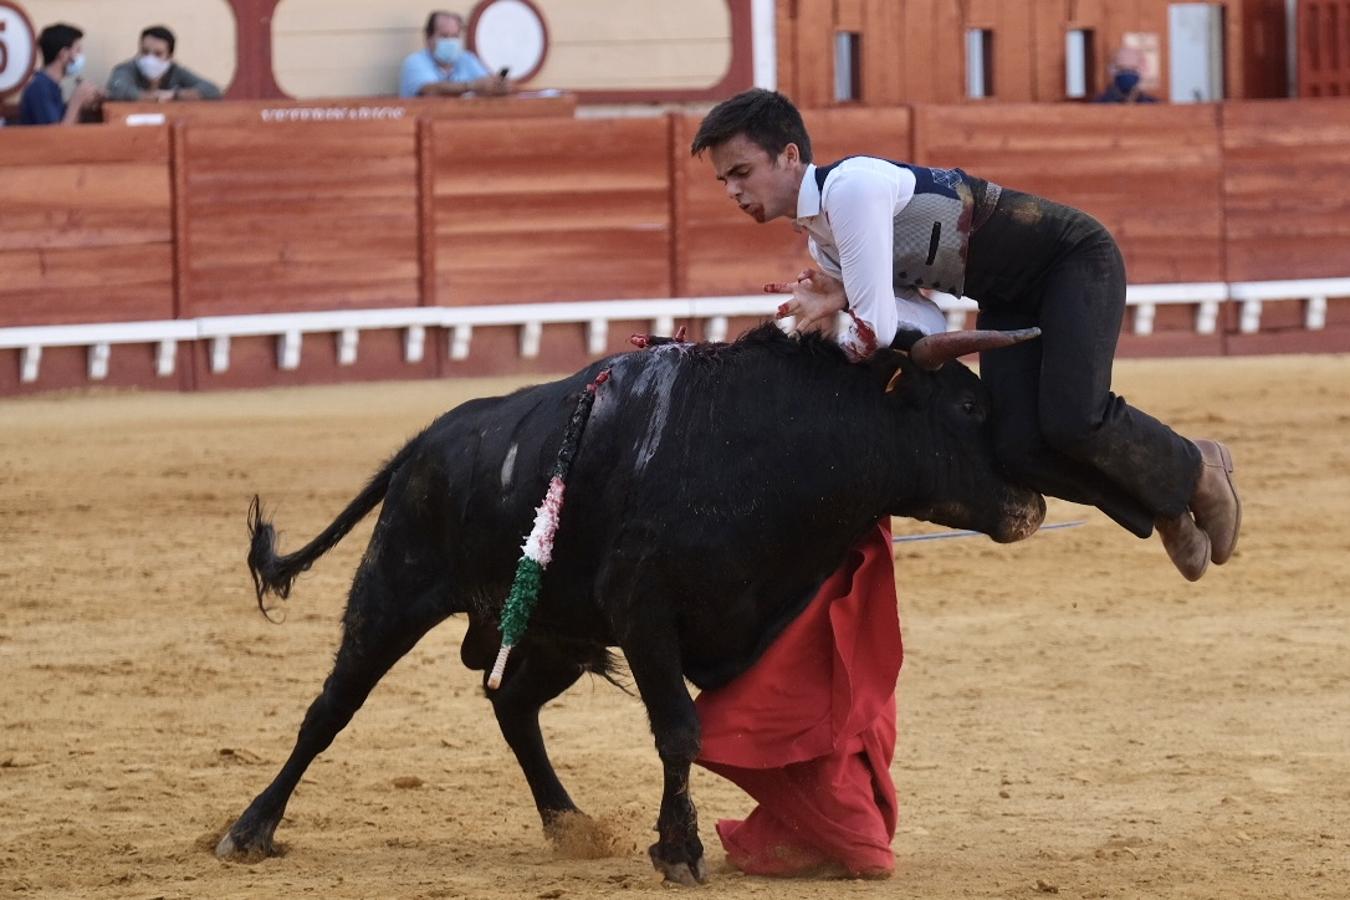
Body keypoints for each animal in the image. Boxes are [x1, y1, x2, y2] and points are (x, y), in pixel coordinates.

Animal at [218, 322, 1042, 879]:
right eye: (970, 409)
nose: (1031, 504)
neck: (777, 446)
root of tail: (420, 446)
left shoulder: (760, 619)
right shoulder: (645, 615)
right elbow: (680, 731)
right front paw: (679, 848)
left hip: (555, 632)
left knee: (512, 704)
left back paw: (567, 824)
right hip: (394, 589)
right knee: (332, 707)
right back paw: (249, 830)